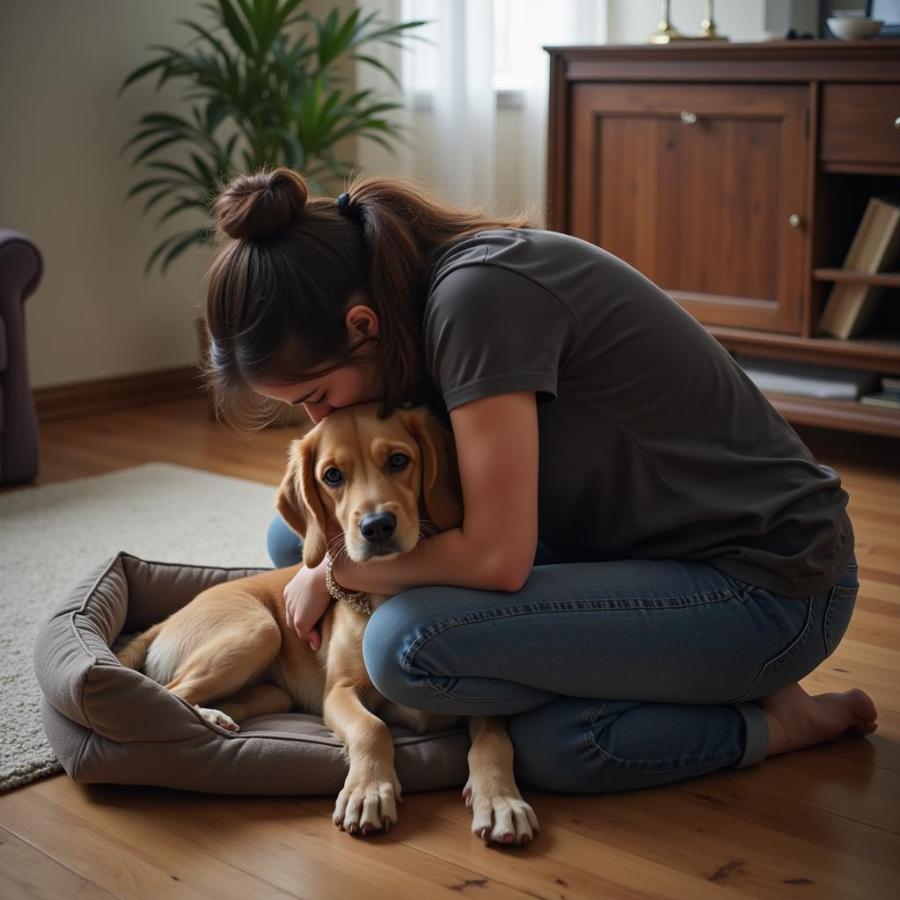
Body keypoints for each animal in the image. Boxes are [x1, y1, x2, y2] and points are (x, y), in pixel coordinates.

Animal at [118, 400, 540, 844]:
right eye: (332, 476)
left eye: (398, 461)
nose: (376, 527)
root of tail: (168, 619)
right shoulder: (338, 692)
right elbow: (373, 728)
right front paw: (369, 792)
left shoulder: (486, 701)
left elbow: (495, 741)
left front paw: (501, 801)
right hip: (257, 632)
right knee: (169, 692)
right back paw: (207, 719)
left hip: (271, 693)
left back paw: (217, 720)